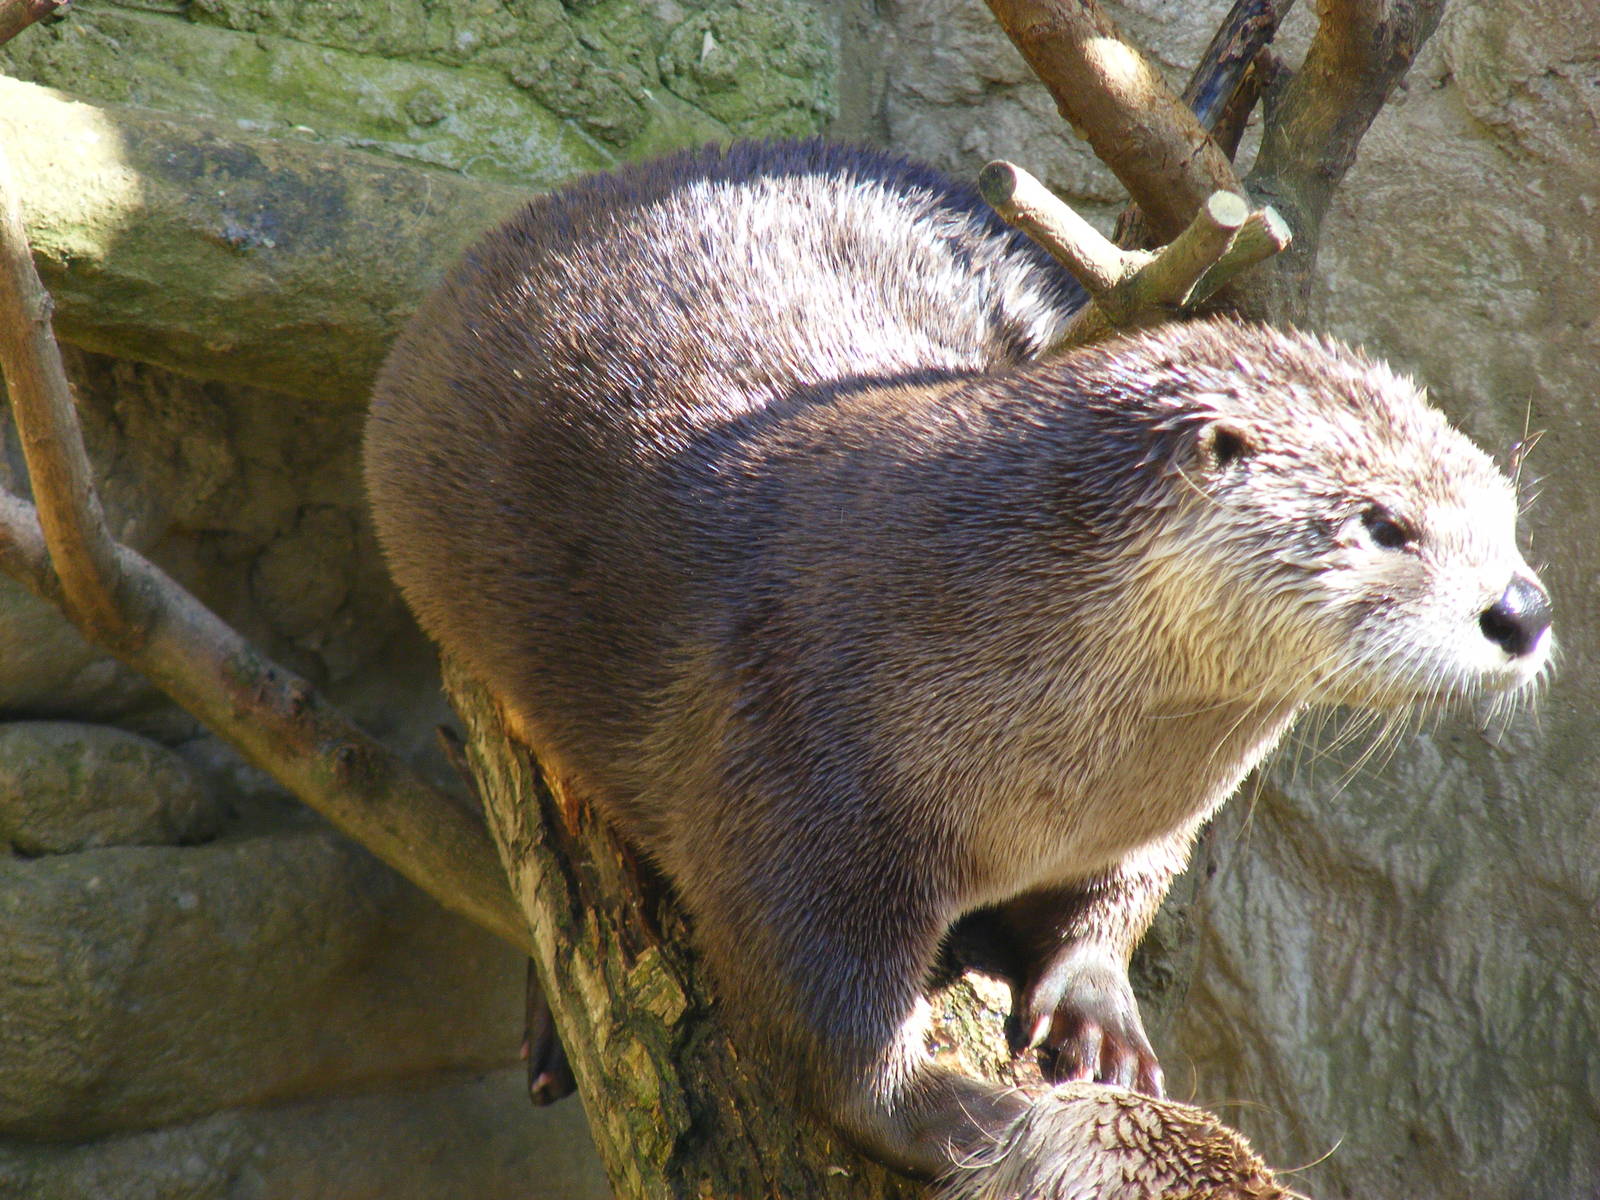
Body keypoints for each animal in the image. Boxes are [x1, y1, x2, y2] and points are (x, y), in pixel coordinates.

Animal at [364, 141, 1552, 1193]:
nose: (1523, 608)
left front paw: (1099, 1014)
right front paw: (965, 1118)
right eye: (1383, 524)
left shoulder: (1138, 820)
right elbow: (815, 1014)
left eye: (1503, 503)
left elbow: (1118, 897)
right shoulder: (793, 764)